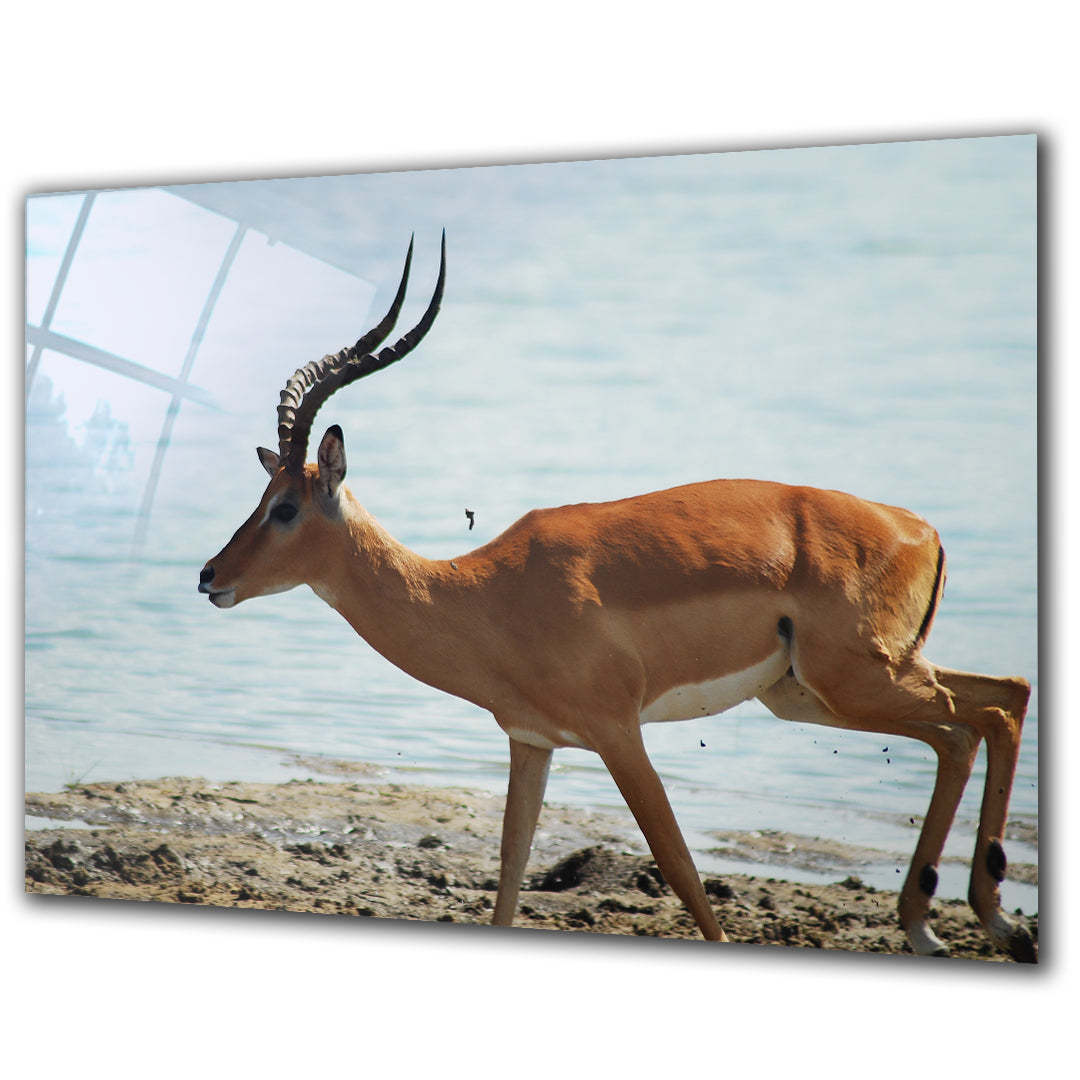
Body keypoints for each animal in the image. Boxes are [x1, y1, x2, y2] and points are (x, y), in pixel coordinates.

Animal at [199, 233, 1036, 961]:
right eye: (262, 495)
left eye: (286, 508)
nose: (210, 576)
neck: (484, 596)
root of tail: (919, 528)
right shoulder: (532, 742)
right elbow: (509, 878)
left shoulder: (618, 734)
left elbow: (685, 874)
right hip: (816, 691)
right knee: (996, 702)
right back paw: (960, 924)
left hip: (856, 679)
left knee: (976, 719)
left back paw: (975, 923)